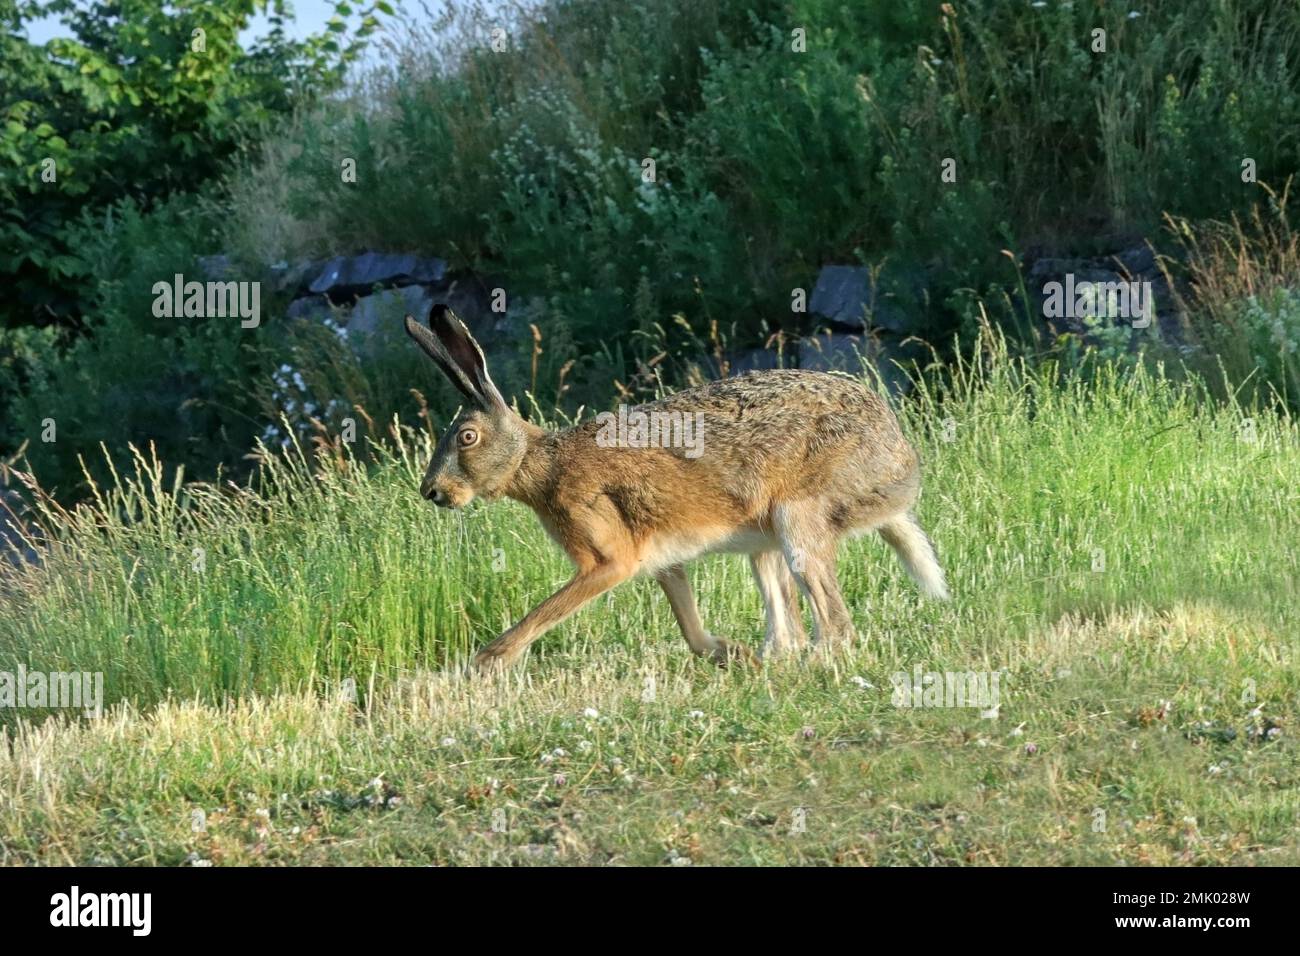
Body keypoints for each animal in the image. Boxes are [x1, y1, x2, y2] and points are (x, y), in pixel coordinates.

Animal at [405, 303, 948, 673]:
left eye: (467, 437)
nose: (432, 492)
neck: (539, 463)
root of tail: (900, 465)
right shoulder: (664, 562)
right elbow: (689, 627)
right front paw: (728, 651)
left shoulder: (608, 558)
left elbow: (550, 609)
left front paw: (487, 662)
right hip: (766, 543)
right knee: (787, 615)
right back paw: (769, 660)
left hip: (799, 519)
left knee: (835, 622)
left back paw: (810, 664)